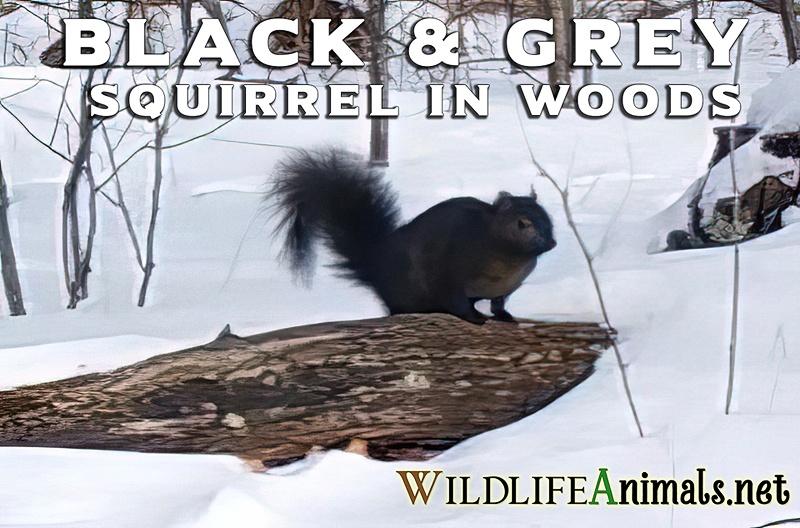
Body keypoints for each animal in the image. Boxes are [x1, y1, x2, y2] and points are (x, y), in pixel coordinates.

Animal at [267, 148, 556, 324]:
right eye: (522, 223)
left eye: (549, 217)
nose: (552, 243)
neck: (508, 257)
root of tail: (377, 266)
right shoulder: (449, 273)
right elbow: (457, 302)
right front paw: (475, 318)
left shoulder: (506, 288)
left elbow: (498, 303)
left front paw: (504, 315)